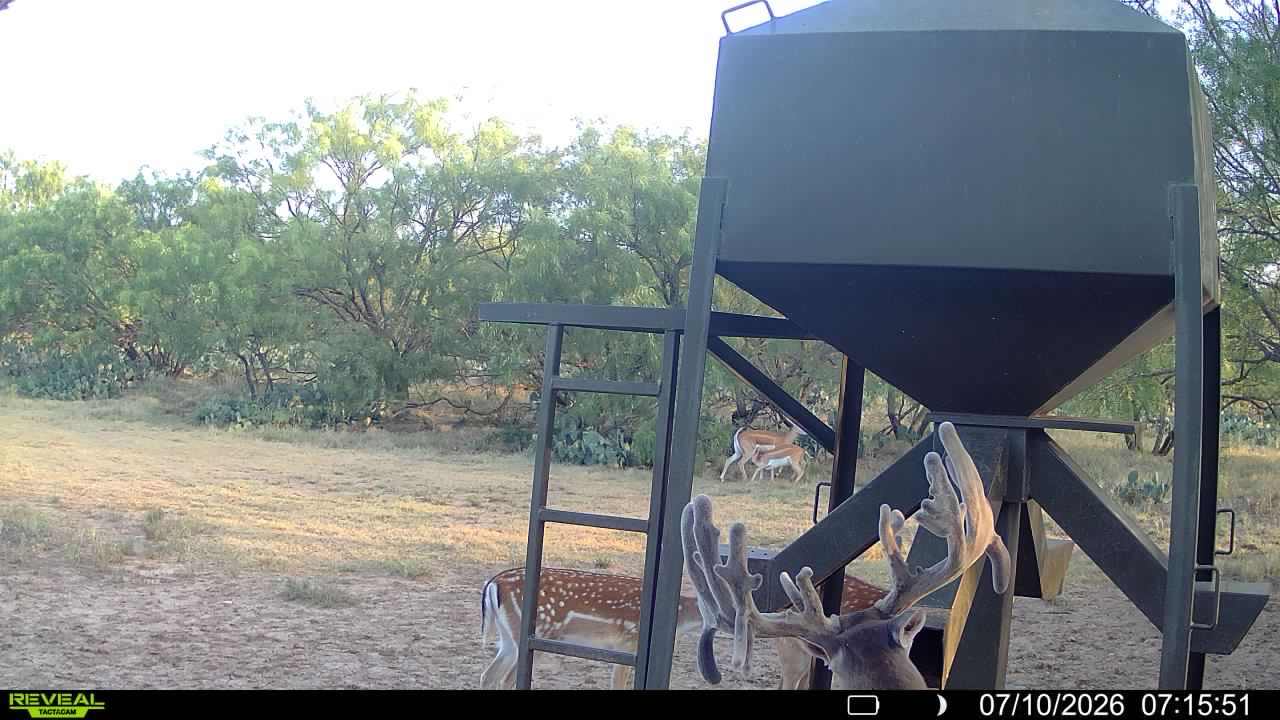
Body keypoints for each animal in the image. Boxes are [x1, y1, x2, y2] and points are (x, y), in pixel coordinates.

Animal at [479, 565, 894, 689]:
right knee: (497, 676)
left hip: (507, 638)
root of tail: (492, 584)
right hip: (524, 634)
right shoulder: (629, 640)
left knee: (493, 674)